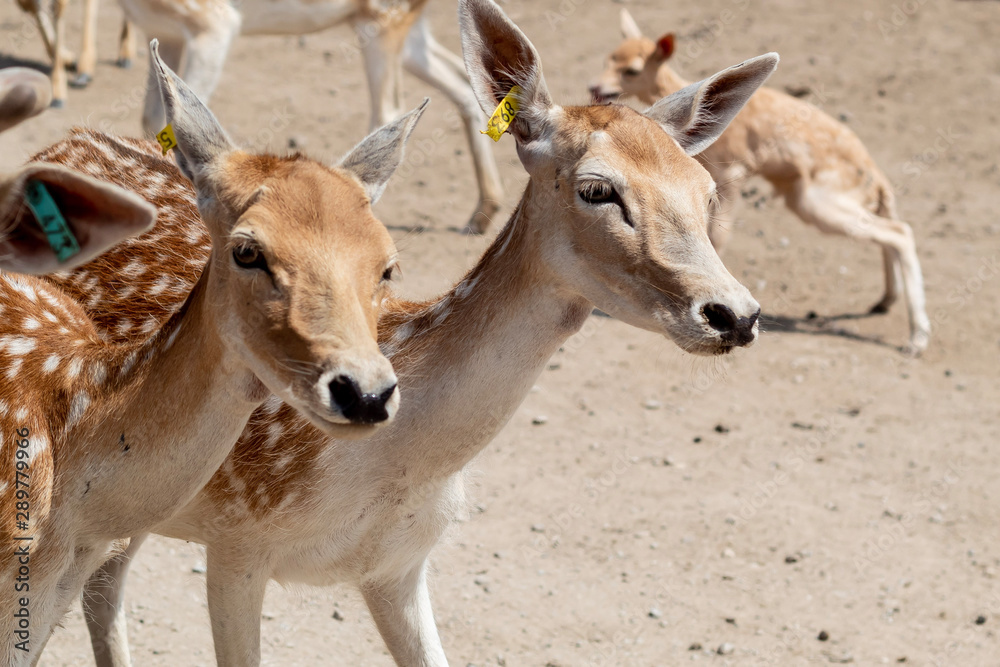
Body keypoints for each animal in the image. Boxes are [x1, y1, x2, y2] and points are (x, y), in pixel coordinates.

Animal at [62, 0, 776, 664]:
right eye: (597, 189)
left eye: (708, 191)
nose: (735, 314)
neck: (395, 466)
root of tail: (69, 139)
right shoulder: (238, 541)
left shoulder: (399, 565)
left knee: (101, 588)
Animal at [592, 7, 928, 358]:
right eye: (609, 58)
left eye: (631, 70)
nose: (596, 88)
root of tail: (876, 177)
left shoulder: (731, 175)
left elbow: (718, 234)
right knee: (888, 233)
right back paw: (885, 302)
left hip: (813, 203)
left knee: (900, 232)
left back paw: (917, 339)